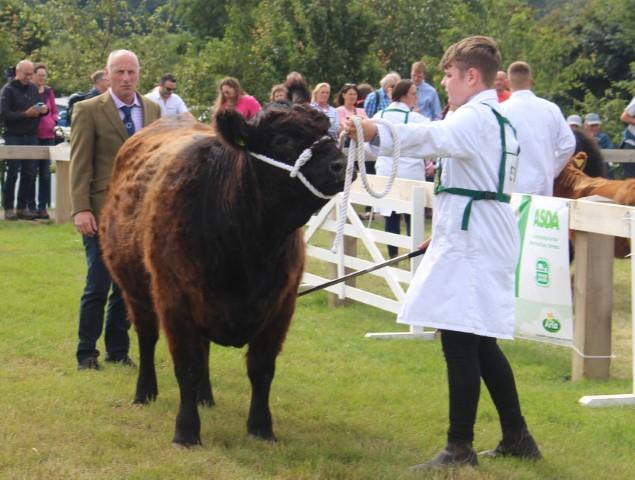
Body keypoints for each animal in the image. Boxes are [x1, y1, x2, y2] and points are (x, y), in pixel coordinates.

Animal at [100, 105, 348, 446]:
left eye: (329, 131)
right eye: (283, 139)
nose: (342, 164)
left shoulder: (281, 305)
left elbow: (261, 369)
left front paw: (261, 428)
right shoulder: (176, 299)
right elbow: (187, 366)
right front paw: (186, 431)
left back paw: (205, 396)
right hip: (135, 291)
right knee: (148, 339)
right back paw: (145, 392)